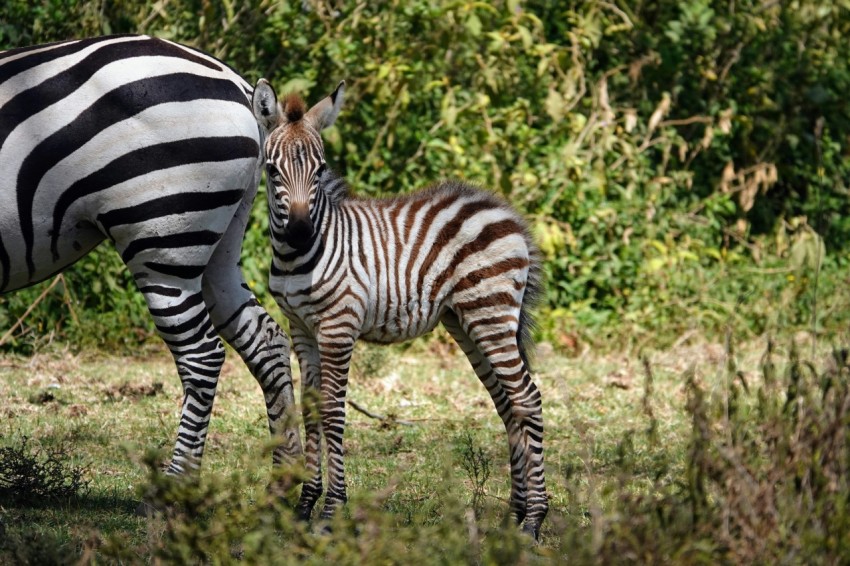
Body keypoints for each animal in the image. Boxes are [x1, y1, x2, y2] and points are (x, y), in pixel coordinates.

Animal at [0, 34, 304, 488]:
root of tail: (236, 83)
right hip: (220, 246)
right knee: (266, 339)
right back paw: (286, 478)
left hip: (163, 237)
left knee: (202, 355)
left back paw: (178, 484)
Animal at [252, 80, 548, 540]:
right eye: (271, 170)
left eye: (320, 170)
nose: (300, 233)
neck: (296, 258)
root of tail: (507, 213)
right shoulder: (301, 326)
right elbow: (312, 408)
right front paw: (304, 507)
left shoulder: (338, 326)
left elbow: (333, 412)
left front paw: (331, 513)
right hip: (466, 320)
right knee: (507, 403)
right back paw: (515, 515)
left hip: (490, 312)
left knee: (527, 398)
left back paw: (534, 519)